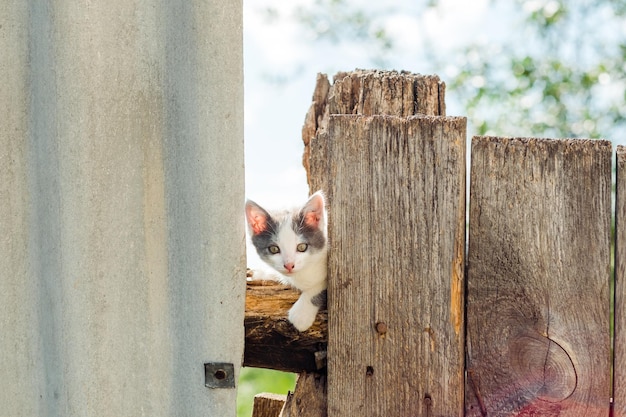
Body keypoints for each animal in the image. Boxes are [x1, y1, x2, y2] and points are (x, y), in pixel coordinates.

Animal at [244, 192, 326, 332]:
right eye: (274, 249)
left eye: (302, 247)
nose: (289, 265)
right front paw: (262, 273)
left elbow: (321, 285)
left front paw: (301, 313)